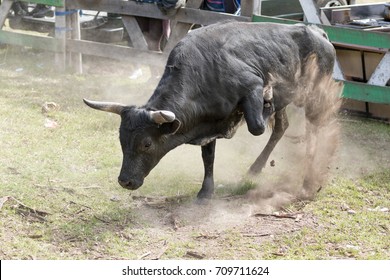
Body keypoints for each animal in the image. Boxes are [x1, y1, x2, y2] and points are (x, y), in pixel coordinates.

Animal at [83, 23, 342, 200]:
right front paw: (206, 192)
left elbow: (256, 126)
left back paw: (309, 176)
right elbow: (208, 157)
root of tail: (319, 33)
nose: (125, 181)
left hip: (314, 95)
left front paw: (267, 101)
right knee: (281, 127)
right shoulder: (208, 122)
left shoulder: (252, 87)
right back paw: (256, 168)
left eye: (146, 143)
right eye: (121, 140)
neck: (205, 71)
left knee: (314, 128)